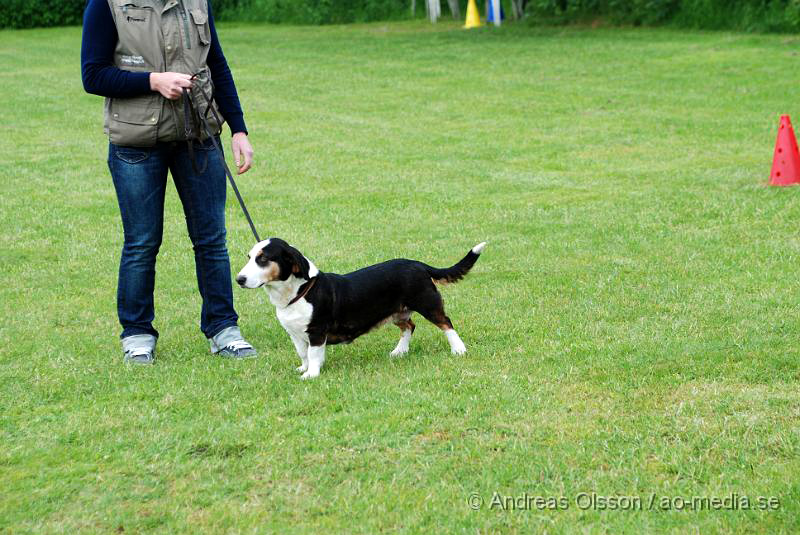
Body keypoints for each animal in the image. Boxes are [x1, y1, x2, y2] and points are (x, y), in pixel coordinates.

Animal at [236, 237, 488, 378]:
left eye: (263, 259)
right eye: (249, 256)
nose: (239, 279)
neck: (298, 293)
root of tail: (417, 264)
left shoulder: (316, 332)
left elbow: (314, 355)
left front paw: (311, 375)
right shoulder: (296, 334)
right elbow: (304, 354)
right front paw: (303, 368)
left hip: (428, 303)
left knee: (446, 323)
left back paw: (458, 349)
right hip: (398, 312)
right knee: (409, 326)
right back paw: (399, 351)